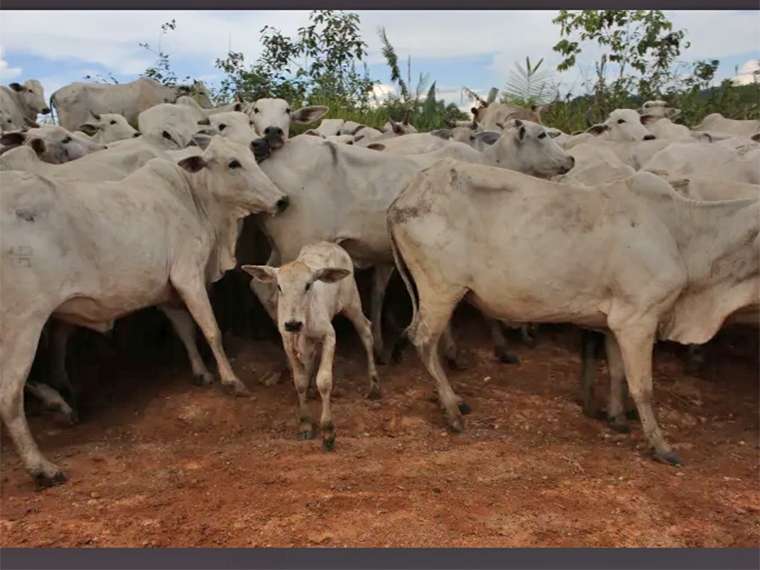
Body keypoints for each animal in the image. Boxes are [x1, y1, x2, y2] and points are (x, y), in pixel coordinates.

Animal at [0, 135, 290, 486]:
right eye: (233, 163)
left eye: (250, 154)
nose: (281, 200)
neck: (193, 196)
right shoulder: (188, 275)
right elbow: (210, 329)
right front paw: (230, 380)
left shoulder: (166, 287)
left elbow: (184, 328)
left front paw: (201, 373)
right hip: (23, 324)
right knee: (9, 396)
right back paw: (42, 465)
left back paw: (60, 407)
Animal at [245, 241, 380, 448]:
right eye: (279, 287)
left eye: (308, 285)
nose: (293, 324)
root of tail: (328, 243)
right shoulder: (287, 342)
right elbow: (299, 381)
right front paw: (306, 423)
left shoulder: (329, 335)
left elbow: (324, 381)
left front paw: (328, 429)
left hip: (352, 303)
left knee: (366, 331)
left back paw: (373, 384)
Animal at [388, 162, 756, 464]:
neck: (683, 234)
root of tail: (406, 192)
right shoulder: (638, 320)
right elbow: (643, 387)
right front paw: (661, 446)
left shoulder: (615, 324)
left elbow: (617, 373)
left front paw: (616, 418)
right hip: (441, 287)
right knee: (422, 339)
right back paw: (452, 411)